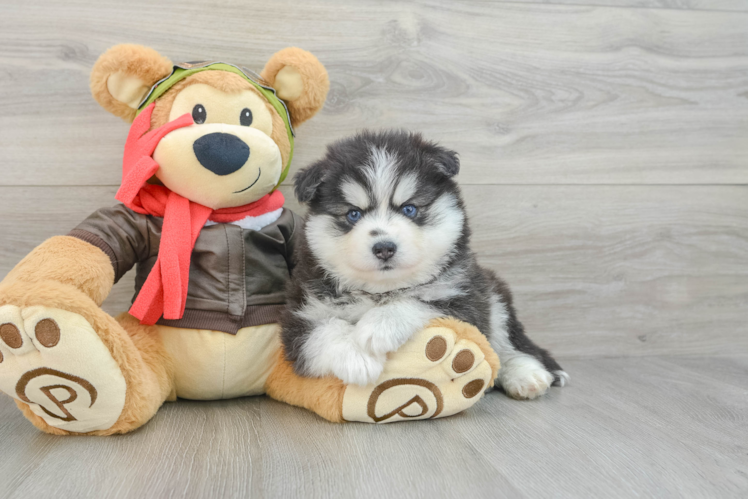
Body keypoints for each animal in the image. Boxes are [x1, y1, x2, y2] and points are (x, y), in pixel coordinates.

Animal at [280, 131, 568, 400]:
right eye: (353, 214)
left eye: (409, 209)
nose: (384, 247)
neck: (381, 291)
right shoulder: (300, 314)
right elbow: (324, 330)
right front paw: (356, 357)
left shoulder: (465, 301)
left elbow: (418, 301)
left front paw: (378, 327)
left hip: (494, 297)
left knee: (509, 344)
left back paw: (526, 375)